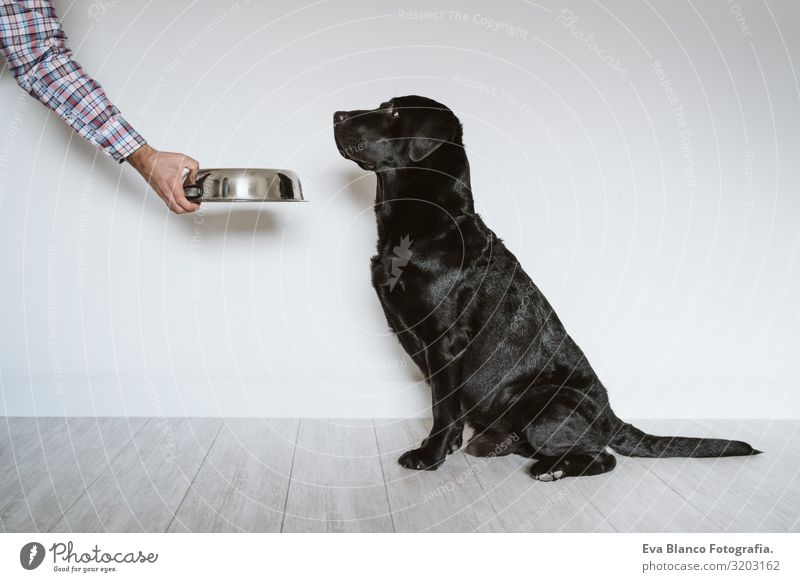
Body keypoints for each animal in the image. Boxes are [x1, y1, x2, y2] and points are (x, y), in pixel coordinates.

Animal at [332, 93, 764, 482]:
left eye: (392, 111)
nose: (336, 114)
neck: (426, 227)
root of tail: (612, 417)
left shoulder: (445, 342)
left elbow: (443, 406)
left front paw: (431, 455)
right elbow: (446, 407)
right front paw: (445, 447)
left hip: (540, 404)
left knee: (602, 458)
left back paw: (551, 470)